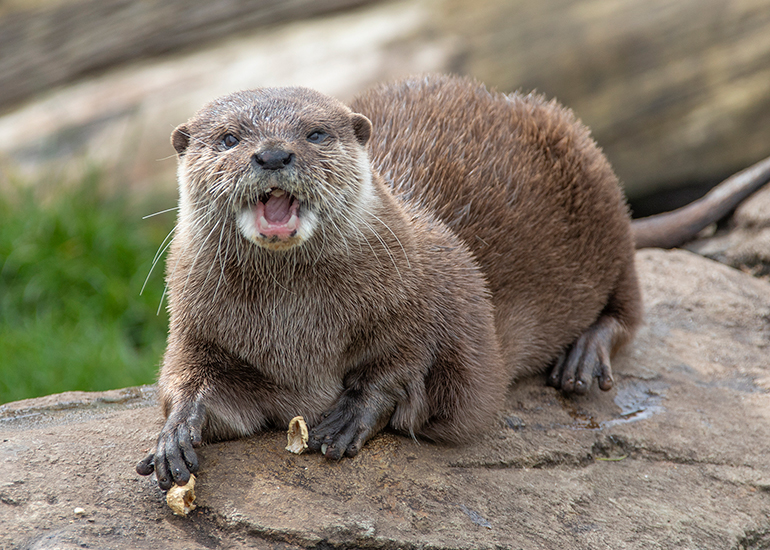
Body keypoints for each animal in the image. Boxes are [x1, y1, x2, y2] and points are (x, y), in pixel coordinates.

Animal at [137, 74, 770, 491]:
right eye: (229, 138)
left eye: (315, 134)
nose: (272, 154)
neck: (300, 334)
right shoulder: (200, 331)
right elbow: (196, 388)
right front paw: (176, 432)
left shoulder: (446, 292)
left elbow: (416, 367)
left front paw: (356, 410)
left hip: (602, 192)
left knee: (630, 308)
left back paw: (584, 357)